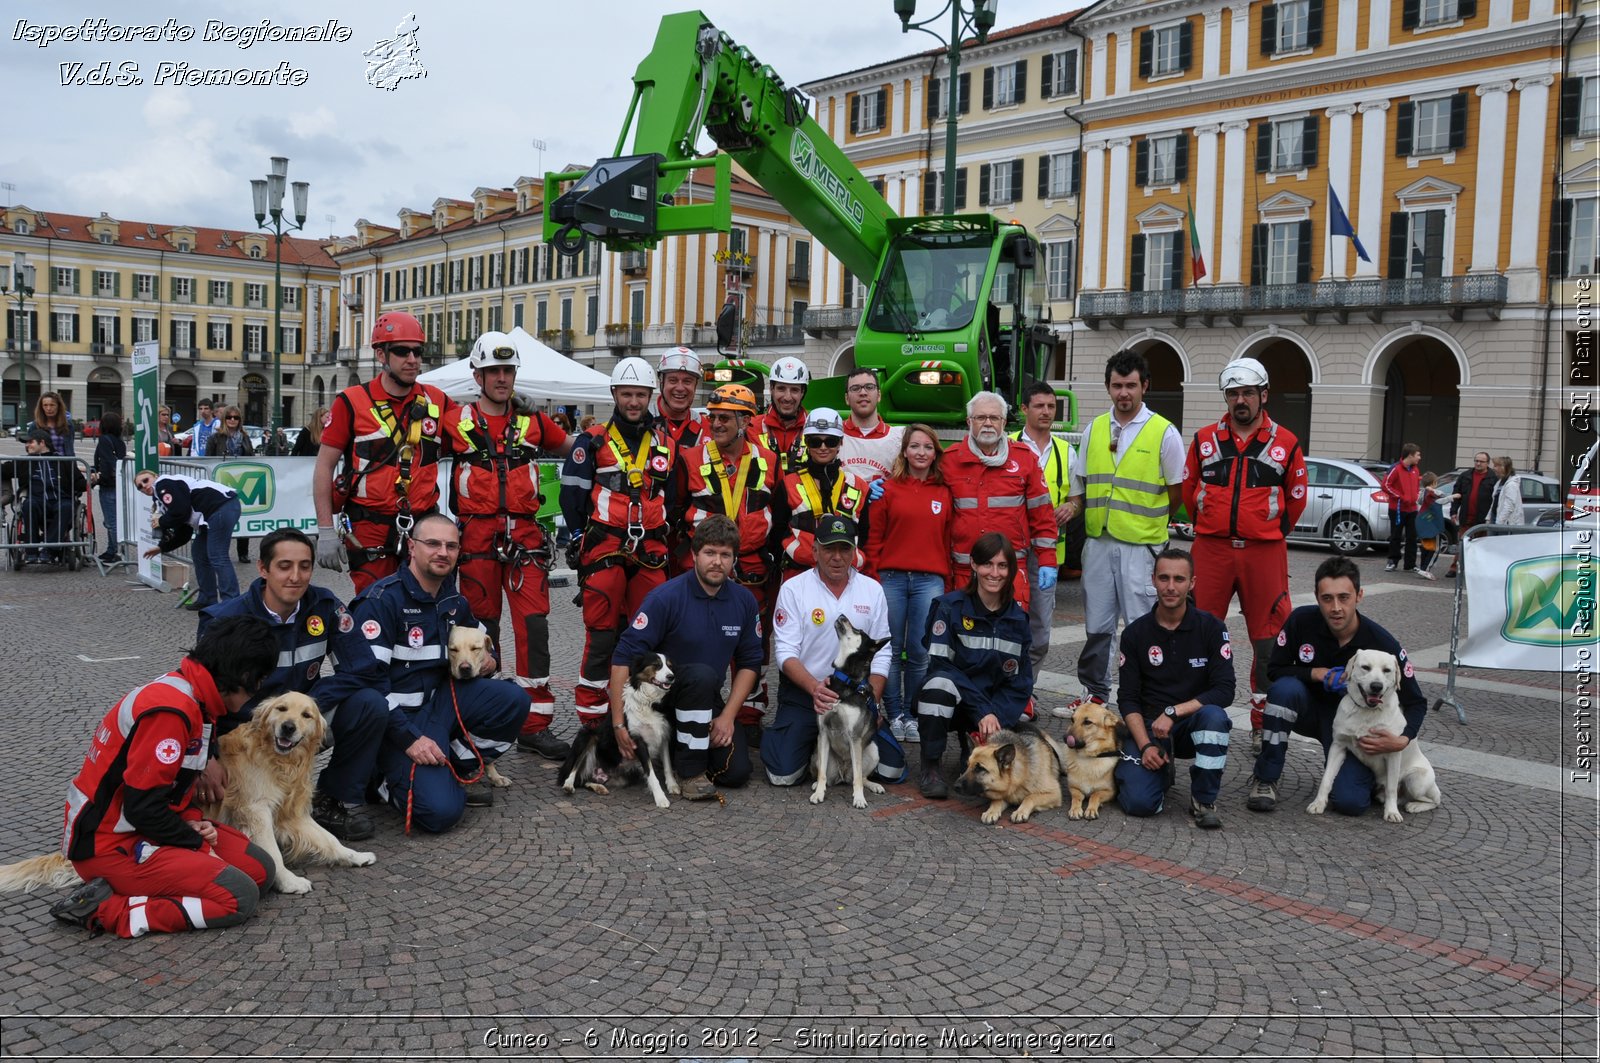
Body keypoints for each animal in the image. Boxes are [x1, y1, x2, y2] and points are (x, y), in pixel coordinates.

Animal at [560, 653, 678, 810]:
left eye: (670, 666)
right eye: (656, 665)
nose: (671, 676)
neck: (650, 701)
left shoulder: (664, 735)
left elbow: (668, 764)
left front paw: (672, 785)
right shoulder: (638, 740)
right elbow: (651, 774)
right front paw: (660, 798)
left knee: (583, 781)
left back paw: (599, 787)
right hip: (588, 735)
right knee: (574, 770)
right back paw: (568, 785)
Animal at [806, 614, 896, 806]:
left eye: (859, 631)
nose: (842, 615)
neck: (846, 679)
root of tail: (843, 773)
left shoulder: (854, 737)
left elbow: (858, 779)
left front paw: (859, 798)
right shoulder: (823, 732)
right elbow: (822, 774)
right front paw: (818, 794)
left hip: (872, 751)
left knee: (861, 776)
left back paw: (874, 785)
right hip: (817, 754)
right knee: (825, 775)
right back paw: (816, 784)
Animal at [1305, 646, 1446, 819]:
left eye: (1387, 670)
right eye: (1366, 667)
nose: (1376, 686)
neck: (1367, 712)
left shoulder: (1393, 754)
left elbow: (1391, 788)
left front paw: (1391, 812)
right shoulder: (1338, 746)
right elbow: (1326, 779)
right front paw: (1318, 803)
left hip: (1416, 779)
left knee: (1435, 800)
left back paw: (1414, 806)